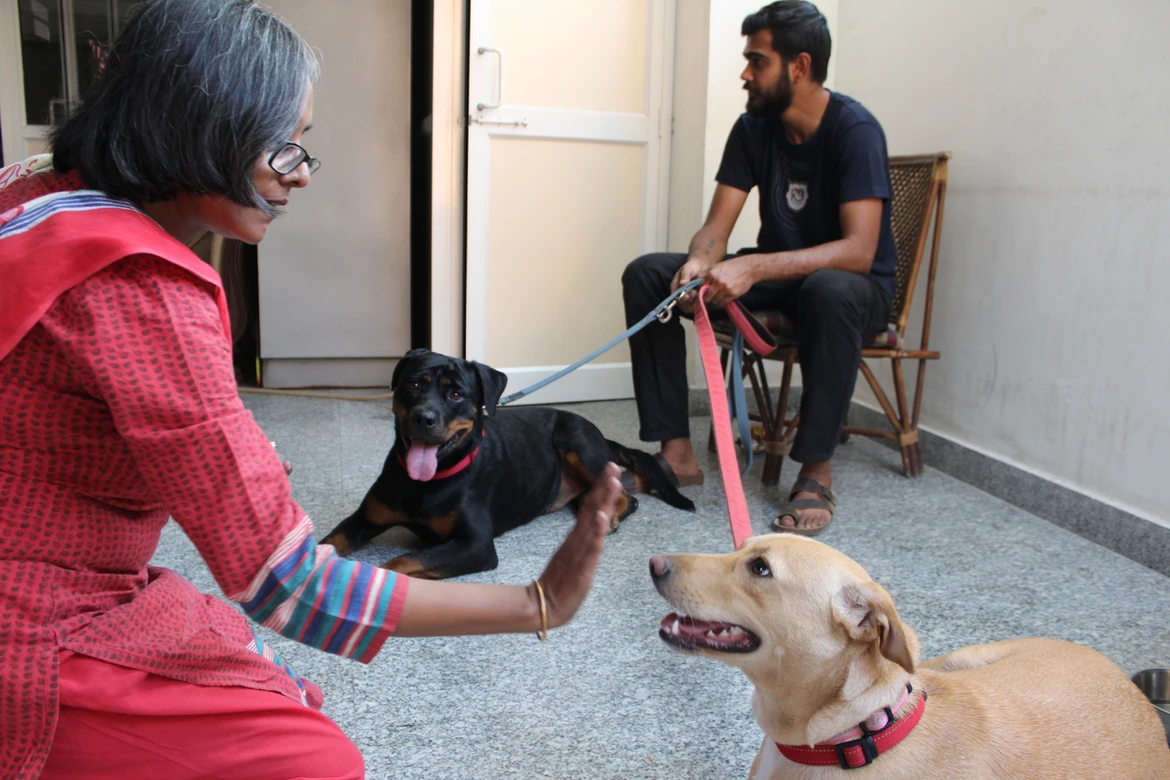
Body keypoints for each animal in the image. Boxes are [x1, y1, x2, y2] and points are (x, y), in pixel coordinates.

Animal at [320, 350, 692, 577]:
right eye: (412, 384)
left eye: (456, 394)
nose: (424, 417)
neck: (425, 482)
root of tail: (598, 432)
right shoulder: (364, 518)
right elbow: (327, 541)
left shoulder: (475, 546)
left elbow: (402, 560)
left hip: (575, 439)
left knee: (626, 494)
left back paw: (610, 514)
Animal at [650, 537, 1170, 780]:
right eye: (738, 547)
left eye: (760, 568)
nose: (653, 563)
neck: (853, 735)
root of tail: (1133, 691)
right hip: (950, 662)